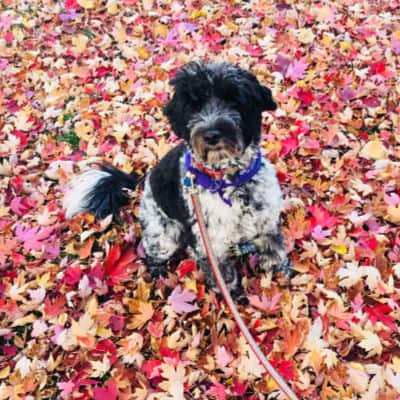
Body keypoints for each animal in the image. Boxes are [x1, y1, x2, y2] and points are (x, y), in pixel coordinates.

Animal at [65, 61, 290, 296]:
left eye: (234, 100)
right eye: (194, 106)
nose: (211, 135)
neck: (230, 181)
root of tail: (144, 182)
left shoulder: (266, 223)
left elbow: (275, 251)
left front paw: (281, 275)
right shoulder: (209, 243)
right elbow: (224, 277)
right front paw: (234, 295)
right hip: (163, 234)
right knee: (152, 253)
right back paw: (159, 275)